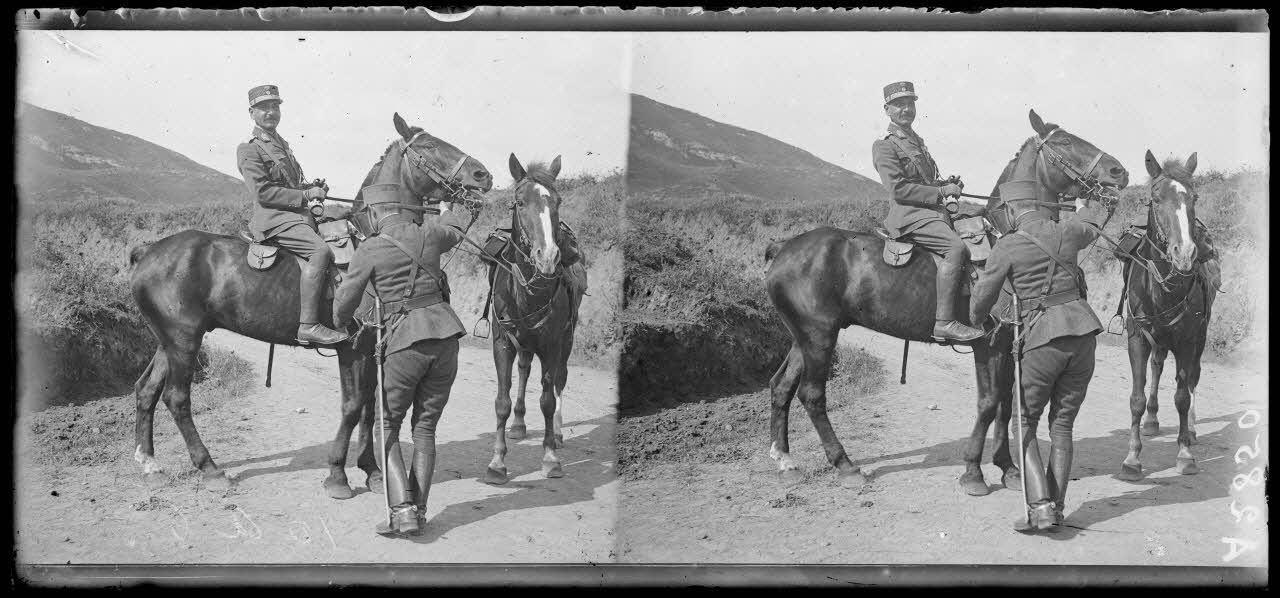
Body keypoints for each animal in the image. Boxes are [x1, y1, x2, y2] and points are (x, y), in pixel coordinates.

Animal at [128, 112, 492, 498]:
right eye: (429, 146)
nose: (483, 175)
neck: (378, 235)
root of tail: (148, 251)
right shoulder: (353, 348)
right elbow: (352, 406)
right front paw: (338, 474)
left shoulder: (373, 348)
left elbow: (369, 407)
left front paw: (372, 470)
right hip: (184, 341)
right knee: (177, 398)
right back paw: (209, 468)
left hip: (169, 342)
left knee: (147, 390)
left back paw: (149, 463)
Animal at [483, 154, 587, 484]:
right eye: (519, 202)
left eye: (558, 200)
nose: (548, 256)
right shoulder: (502, 343)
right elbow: (501, 402)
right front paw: (497, 462)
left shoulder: (552, 344)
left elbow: (547, 400)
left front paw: (550, 457)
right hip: (525, 342)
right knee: (525, 370)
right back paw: (518, 424)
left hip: (567, 337)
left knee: (560, 380)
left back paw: (559, 432)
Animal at [762, 109, 1128, 493]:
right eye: (1065, 142)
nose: (1119, 171)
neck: (1010, 233)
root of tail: (783, 247)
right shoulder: (989, 344)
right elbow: (989, 403)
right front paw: (973, 471)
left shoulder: (1009, 344)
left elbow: (1005, 404)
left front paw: (1008, 468)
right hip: (820, 337)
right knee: (812, 394)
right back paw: (844, 465)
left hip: (804, 339)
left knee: (781, 386)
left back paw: (785, 460)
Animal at [1117, 151, 1216, 480]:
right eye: (1156, 198)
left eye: (1194, 197)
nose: (1184, 253)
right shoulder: (1138, 338)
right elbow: (1135, 399)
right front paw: (1132, 458)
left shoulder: (1187, 340)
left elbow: (1183, 396)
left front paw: (1184, 454)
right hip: (1158, 340)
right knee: (1158, 368)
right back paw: (1152, 420)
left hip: (1199, 338)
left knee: (1192, 378)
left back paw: (1192, 431)